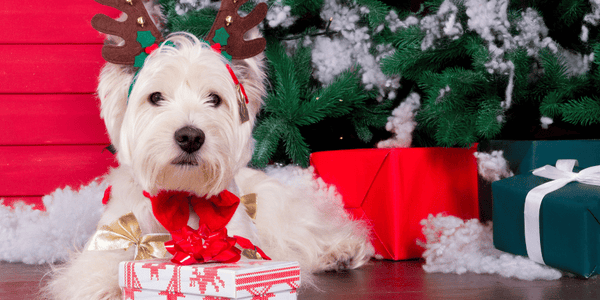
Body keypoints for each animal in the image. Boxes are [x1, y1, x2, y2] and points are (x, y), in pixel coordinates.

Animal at [44, 15, 376, 300]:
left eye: (214, 99)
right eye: (155, 97)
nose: (190, 137)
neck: (180, 196)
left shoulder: (245, 243)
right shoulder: (109, 241)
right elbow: (102, 270)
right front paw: (111, 286)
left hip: (276, 207)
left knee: (307, 234)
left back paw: (340, 251)